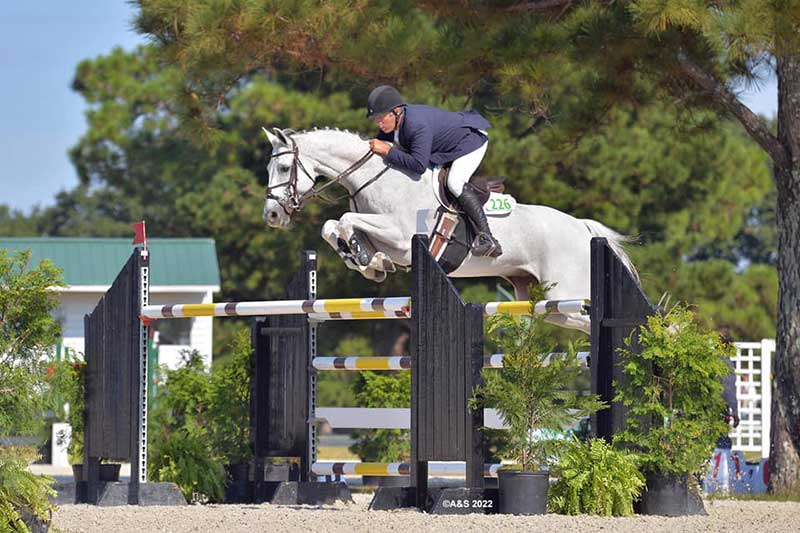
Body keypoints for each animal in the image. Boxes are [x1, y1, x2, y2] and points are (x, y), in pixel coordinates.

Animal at [262, 126, 636, 330]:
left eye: (284, 167)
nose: (272, 215)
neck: (376, 179)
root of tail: (583, 229)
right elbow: (332, 225)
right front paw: (368, 261)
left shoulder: (403, 238)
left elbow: (344, 220)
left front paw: (368, 260)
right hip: (545, 302)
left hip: (567, 293)